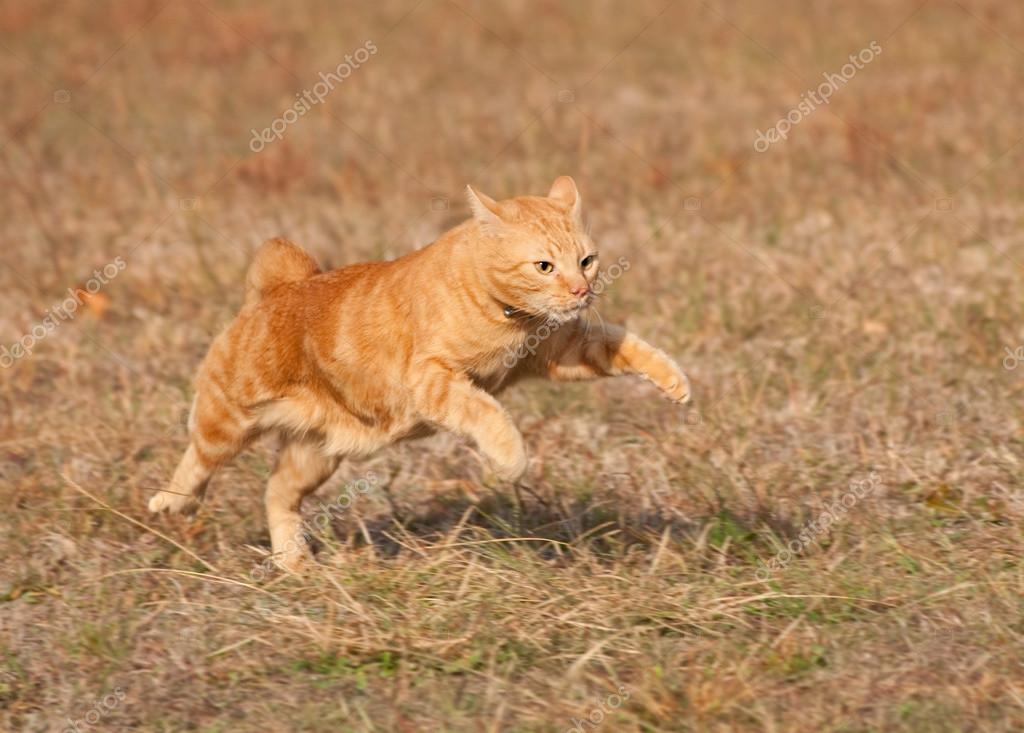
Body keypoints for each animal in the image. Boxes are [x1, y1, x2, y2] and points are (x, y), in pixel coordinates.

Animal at [149, 176, 688, 565]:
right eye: (544, 266)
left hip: (315, 454)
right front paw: (511, 458)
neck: (507, 318)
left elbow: (625, 345)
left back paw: (294, 563)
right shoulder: (434, 380)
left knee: (276, 492)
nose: (581, 291)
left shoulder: (564, 349)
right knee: (197, 459)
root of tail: (280, 287)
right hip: (228, 419)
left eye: (587, 260)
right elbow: (488, 414)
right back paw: (171, 502)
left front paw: (675, 382)